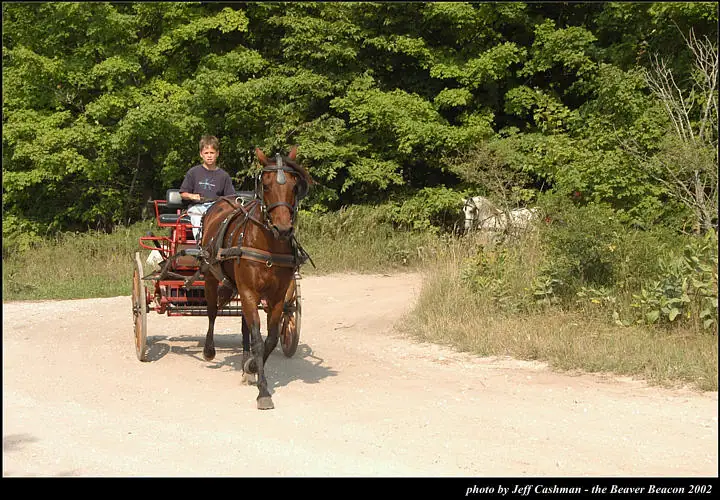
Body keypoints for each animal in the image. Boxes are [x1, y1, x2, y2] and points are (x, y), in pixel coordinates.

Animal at [198, 146, 313, 410]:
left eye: (294, 186)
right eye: (266, 185)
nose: (283, 229)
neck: (268, 244)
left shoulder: (278, 296)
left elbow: (269, 338)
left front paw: (251, 367)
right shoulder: (249, 291)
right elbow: (259, 340)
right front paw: (263, 392)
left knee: (244, 325)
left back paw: (245, 362)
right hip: (211, 275)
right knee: (212, 311)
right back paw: (209, 349)